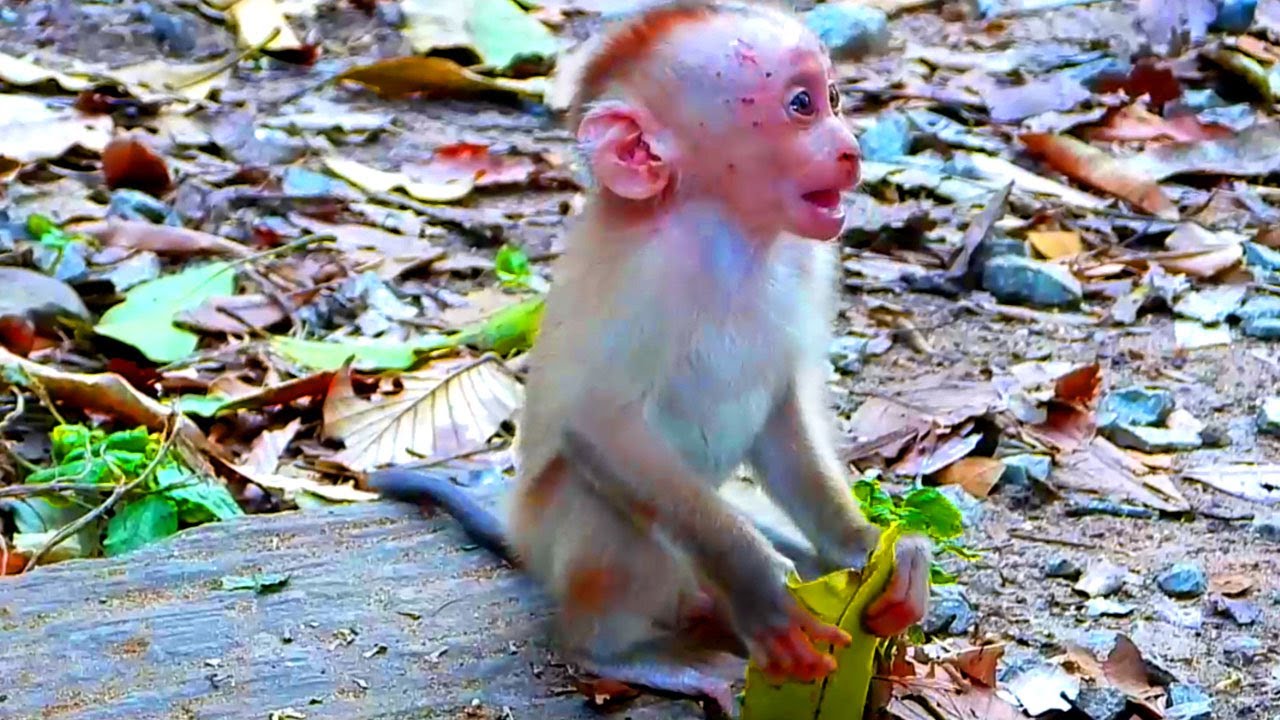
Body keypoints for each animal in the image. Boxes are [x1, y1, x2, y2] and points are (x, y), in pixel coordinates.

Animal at [369, 1, 932, 714]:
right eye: (801, 105)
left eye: (833, 97)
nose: (849, 148)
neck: (729, 235)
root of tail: (522, 538)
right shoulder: (647, 278)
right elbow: (598, 426)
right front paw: (757, 585)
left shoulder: (810, 263)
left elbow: (782, 420)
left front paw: (873, 549)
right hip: (569, 545)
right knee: (607, 509)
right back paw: (622, 651)